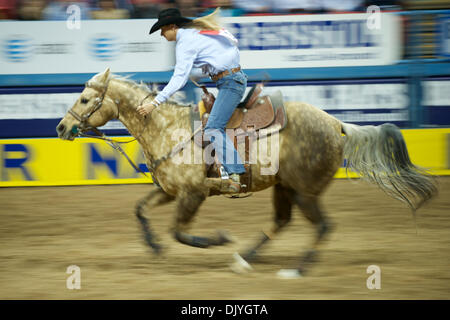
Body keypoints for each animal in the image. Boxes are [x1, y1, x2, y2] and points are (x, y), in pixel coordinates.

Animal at [55, 69, 436, 276]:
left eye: (86, 100)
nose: (61, 127)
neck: (168, 128)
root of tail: (335, 123)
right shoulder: (169, 191)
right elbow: (140, 210)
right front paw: (153, 245)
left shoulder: (194, 193)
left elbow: (180, 232)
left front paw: (219, 239)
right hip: (285, 187)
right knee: (282, 222)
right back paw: (245, 259)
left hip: (305, 190)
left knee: (323, 226)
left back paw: (296, 269)